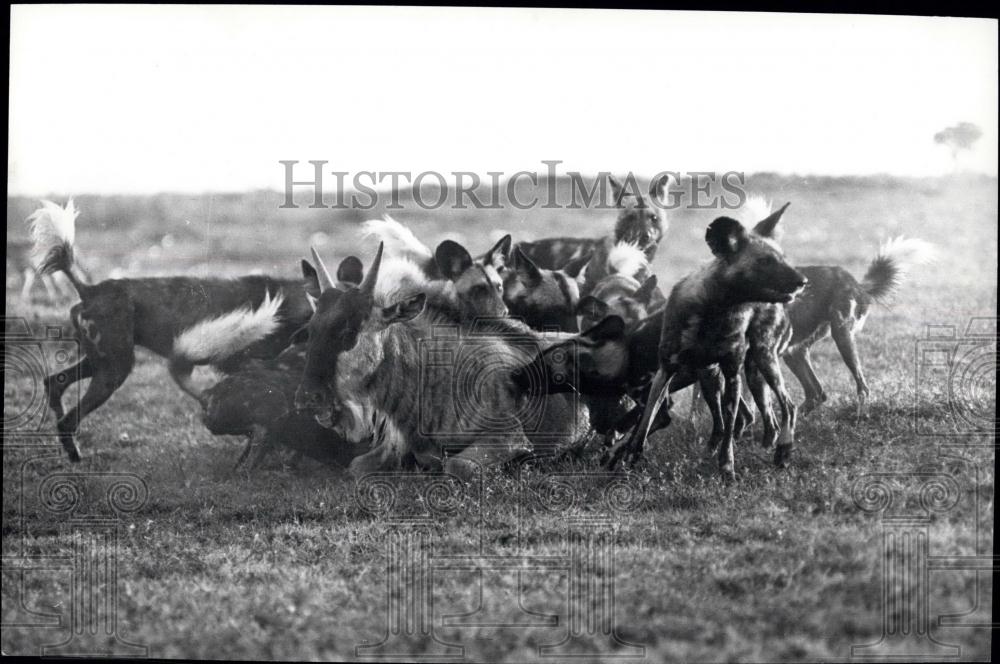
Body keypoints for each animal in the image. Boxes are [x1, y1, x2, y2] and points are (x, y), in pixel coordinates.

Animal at [29, 200, 320, 462]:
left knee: (55, 383)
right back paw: (76, 457)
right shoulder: (241, 362)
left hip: (100, 363)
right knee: (68, 419)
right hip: (114, 371)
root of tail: (90, 290)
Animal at [600, 204, 804, 478]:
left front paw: (727, 470)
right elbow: (642, 426)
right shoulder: (665, 373)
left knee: (785, 407)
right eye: (765, 262)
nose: (803, 281)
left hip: (761, 361)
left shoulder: (732, 375)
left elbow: (729, 431)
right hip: (716, 377)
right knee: (738, 421)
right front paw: (629, 458)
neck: (713, 311)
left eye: (783, 258)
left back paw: (782, 449)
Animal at [784, 237, 932, 416]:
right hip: (794, 351)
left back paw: (860, 415)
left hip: (841, 336)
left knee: (862, 388)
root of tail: (857, 284)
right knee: (816, 394)